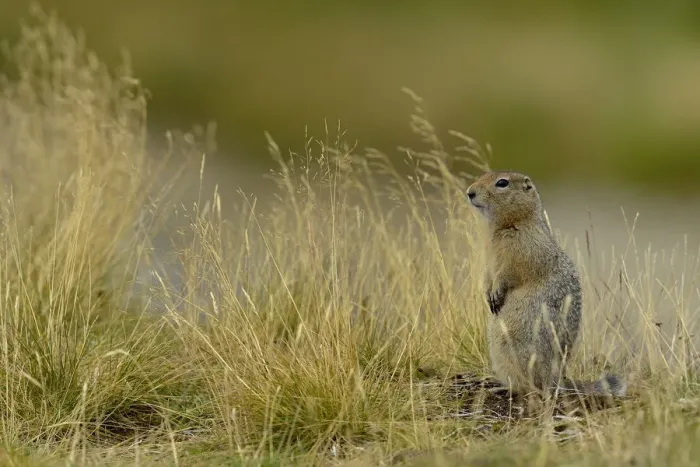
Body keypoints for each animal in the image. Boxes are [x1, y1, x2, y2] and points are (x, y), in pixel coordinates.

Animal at [466, 170, 626, 398]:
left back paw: (505, 388)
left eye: (502, 183)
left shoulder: (522, 253)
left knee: (530, 387)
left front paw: (497, 292)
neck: (506, 226)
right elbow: (488, 274)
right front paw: (488, 293)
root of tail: (557, 380)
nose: (469, 192)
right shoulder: (489, 257)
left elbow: (509, 274)